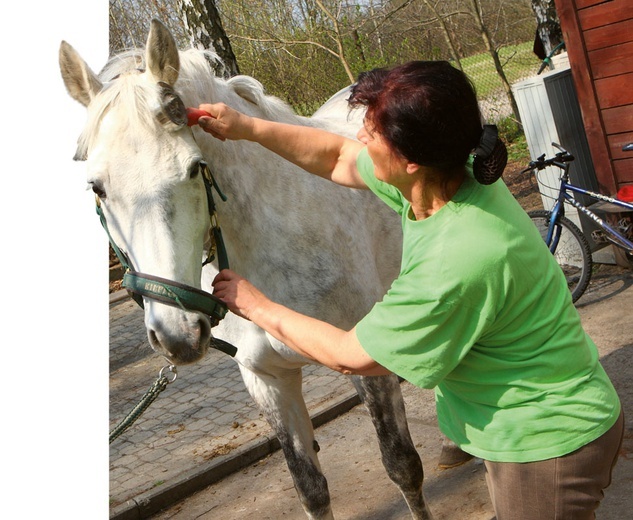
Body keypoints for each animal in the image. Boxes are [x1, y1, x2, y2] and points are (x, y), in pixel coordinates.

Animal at [59, 18, 432, 516]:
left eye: (194, 168)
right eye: (97, 188)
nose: (177, 334)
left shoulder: (368, 368)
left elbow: (401, 465)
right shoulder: (267, 379)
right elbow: (310, 488)